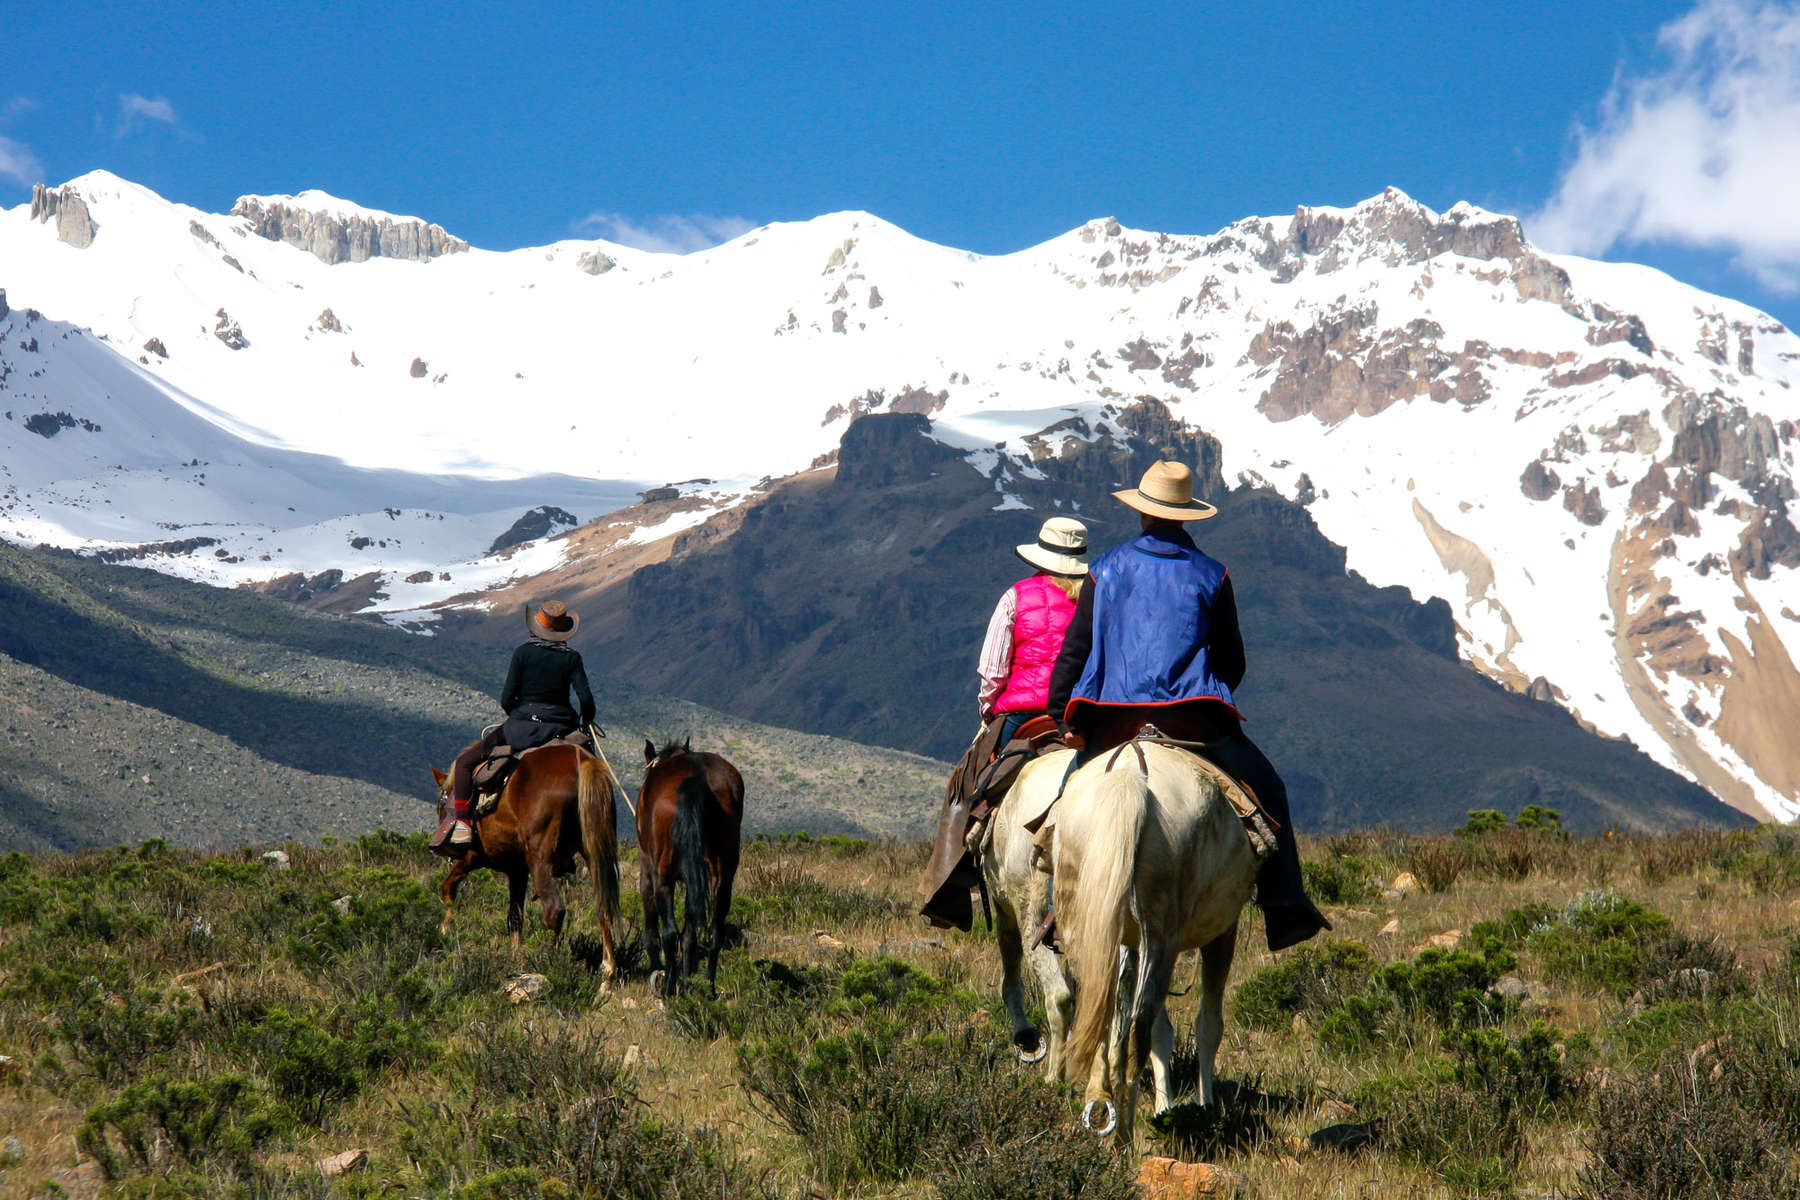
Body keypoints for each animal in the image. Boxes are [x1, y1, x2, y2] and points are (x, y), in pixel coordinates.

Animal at [426, 744, 619, 993]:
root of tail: (582, 762)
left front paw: (444, 932)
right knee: (604, 906)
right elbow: (515, 917)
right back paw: (607, 975)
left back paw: (550, 962)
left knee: (554, 910)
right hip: (595, 851)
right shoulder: (517, 870)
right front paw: (514, 955)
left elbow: (448, 887)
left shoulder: (470, 857)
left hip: (540, 858)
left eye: (440, 806)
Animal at [640, 737, 745, 1000]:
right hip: (722, 875)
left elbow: (653, 933)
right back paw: (708, 987)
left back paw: (667, 989)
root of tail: (696, 780)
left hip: (662, 876)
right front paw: (686, 982)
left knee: (669, 933)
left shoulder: (646, 870)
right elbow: (690, 935)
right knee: (715, 932)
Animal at [1051, 741, 1260, 1144]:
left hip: (1090, 928)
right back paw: (1124, 1136)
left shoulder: (1127, 944)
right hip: (1161, 937)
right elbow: (1207, 1025)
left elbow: (1151, 1030)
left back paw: (1105, 1112)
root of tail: (1129, 775)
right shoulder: (1222, 932)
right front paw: (1205, 1107)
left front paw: (1166, 1106)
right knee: (1139, 1026)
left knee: (1100, 1013)